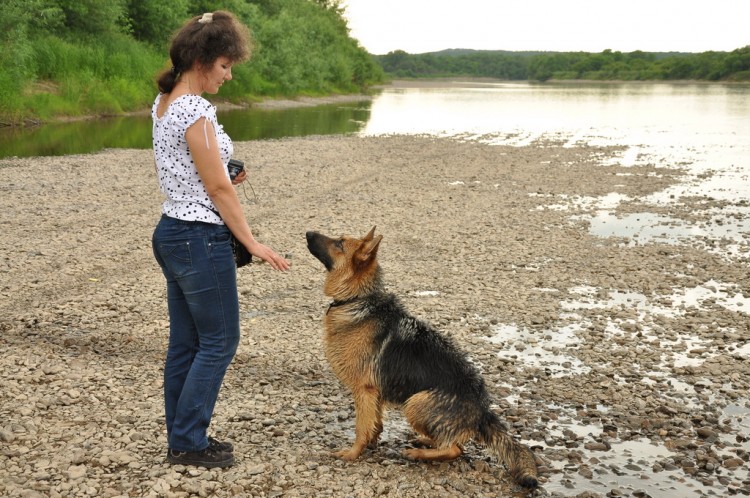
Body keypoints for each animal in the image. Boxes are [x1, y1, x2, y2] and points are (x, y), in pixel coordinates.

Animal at [306, 228, 540, 488]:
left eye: (339, 243)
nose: (308, 232)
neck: (358, 299)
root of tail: (483, 409)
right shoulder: (375, 393)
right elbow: (375, 423)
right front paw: (372, 444)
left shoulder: (364, 390)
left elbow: (361, 428)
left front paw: (353, 453)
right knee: (452, 442)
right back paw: (426, 442)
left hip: (415, 403)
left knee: (455, 449)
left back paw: (418, 454)